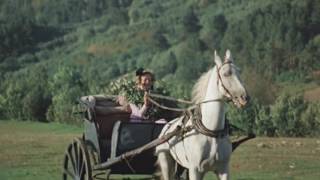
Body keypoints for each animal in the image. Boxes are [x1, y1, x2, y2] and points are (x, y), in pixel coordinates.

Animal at [156, 49, 249, 180]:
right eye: (226, 74)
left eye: (239, 71)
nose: (244, 98)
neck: (212, 132)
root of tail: (166, 127)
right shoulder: (195, 170)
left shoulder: (223, 169)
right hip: (165, 160)